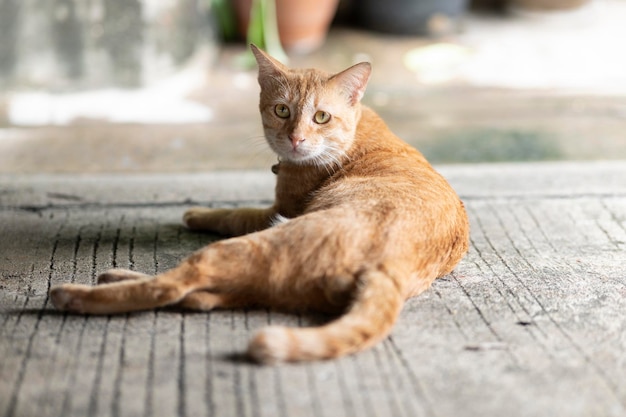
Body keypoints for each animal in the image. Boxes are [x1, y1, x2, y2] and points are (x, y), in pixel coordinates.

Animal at [50, 45, 468, 362]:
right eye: (282, 110)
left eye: (321, 117)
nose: (296, 139)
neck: (351, 136)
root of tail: (388, 266)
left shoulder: (276, 211)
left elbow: (235, 213)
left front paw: (197, 213)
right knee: (200, 296)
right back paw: (117, 277)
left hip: (248, 246)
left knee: (175, 285)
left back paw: (76, 295)